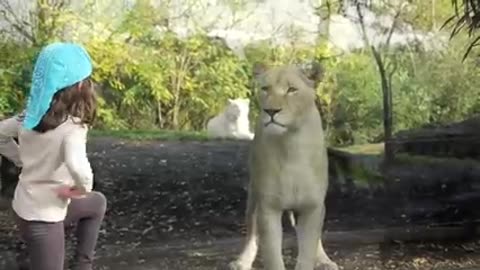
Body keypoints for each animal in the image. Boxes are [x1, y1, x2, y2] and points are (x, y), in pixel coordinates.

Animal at [230, 62, 338, 270]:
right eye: (265, 89)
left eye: (292, 90)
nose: (271, 111)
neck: (291, 146)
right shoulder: (268, 208)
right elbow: (272, 255)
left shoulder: (312, 207)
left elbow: (308, 251)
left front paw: (317, 259)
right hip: (253, 197)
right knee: (251, 232)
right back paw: (242, 261)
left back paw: (325, 261)